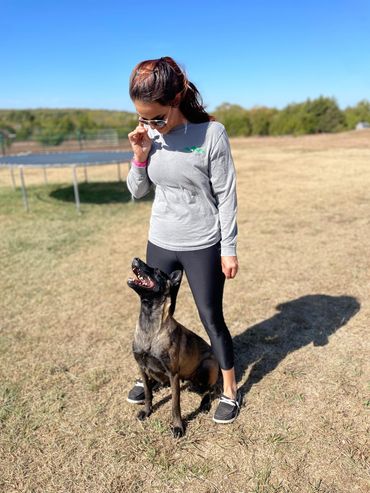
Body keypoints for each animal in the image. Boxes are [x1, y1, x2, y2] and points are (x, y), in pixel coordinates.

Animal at [127, 256, 220, 436]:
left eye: (157, 271)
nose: (136, 258)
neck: (150, 328)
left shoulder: (173, 374)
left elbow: (175, 405)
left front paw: (178, 426)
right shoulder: (142, 367)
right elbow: (147, 393)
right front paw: (147, 411)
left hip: (207, 366)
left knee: (210, 390)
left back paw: (204, 404)